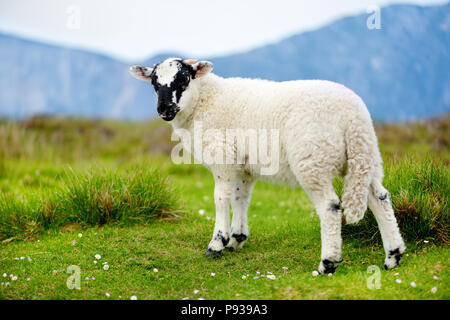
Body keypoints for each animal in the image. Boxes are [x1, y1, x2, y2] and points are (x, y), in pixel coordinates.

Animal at [129, 57, 404, 272]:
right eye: (154, 83)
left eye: (184, 79)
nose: (164, 109)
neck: (205, 101)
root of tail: (353, 115)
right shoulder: (244, 165)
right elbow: (240, 198)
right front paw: (237, 239)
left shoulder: (223, 157)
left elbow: (221, 198)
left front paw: (217, 243)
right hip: (364, 157)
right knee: (380, 198)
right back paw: (393, 256)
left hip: (313, 159)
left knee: (330, 206)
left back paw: (328, 263)